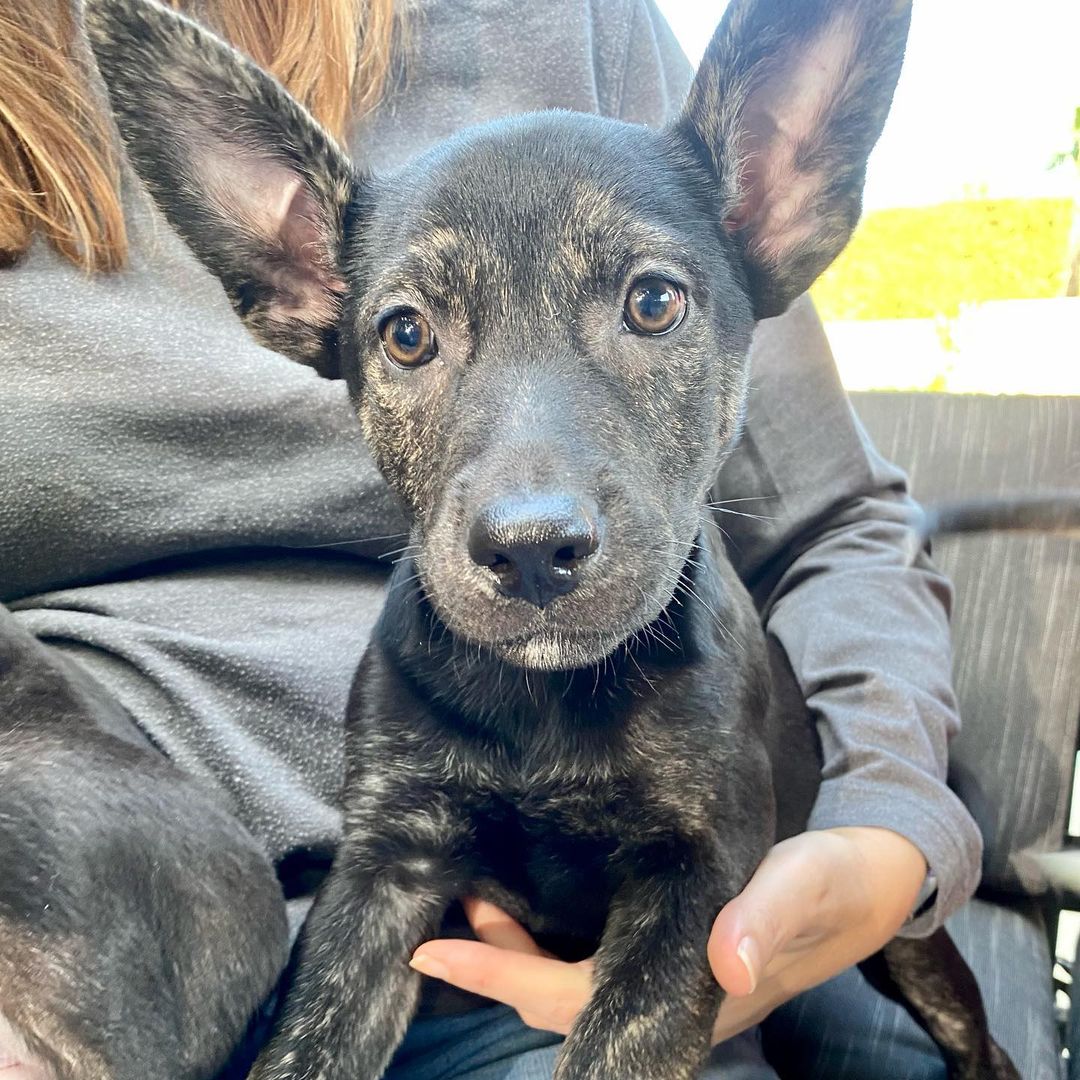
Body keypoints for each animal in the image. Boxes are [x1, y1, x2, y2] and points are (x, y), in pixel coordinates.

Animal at [86, 0, 1019, 1075]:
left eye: (654, 302)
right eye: (405, 334)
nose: (530, 549)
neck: (545, 704)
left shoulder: (697, 880)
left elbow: (612, 1044)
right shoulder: (384, 866)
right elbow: (305, 1045)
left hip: (913, 946)